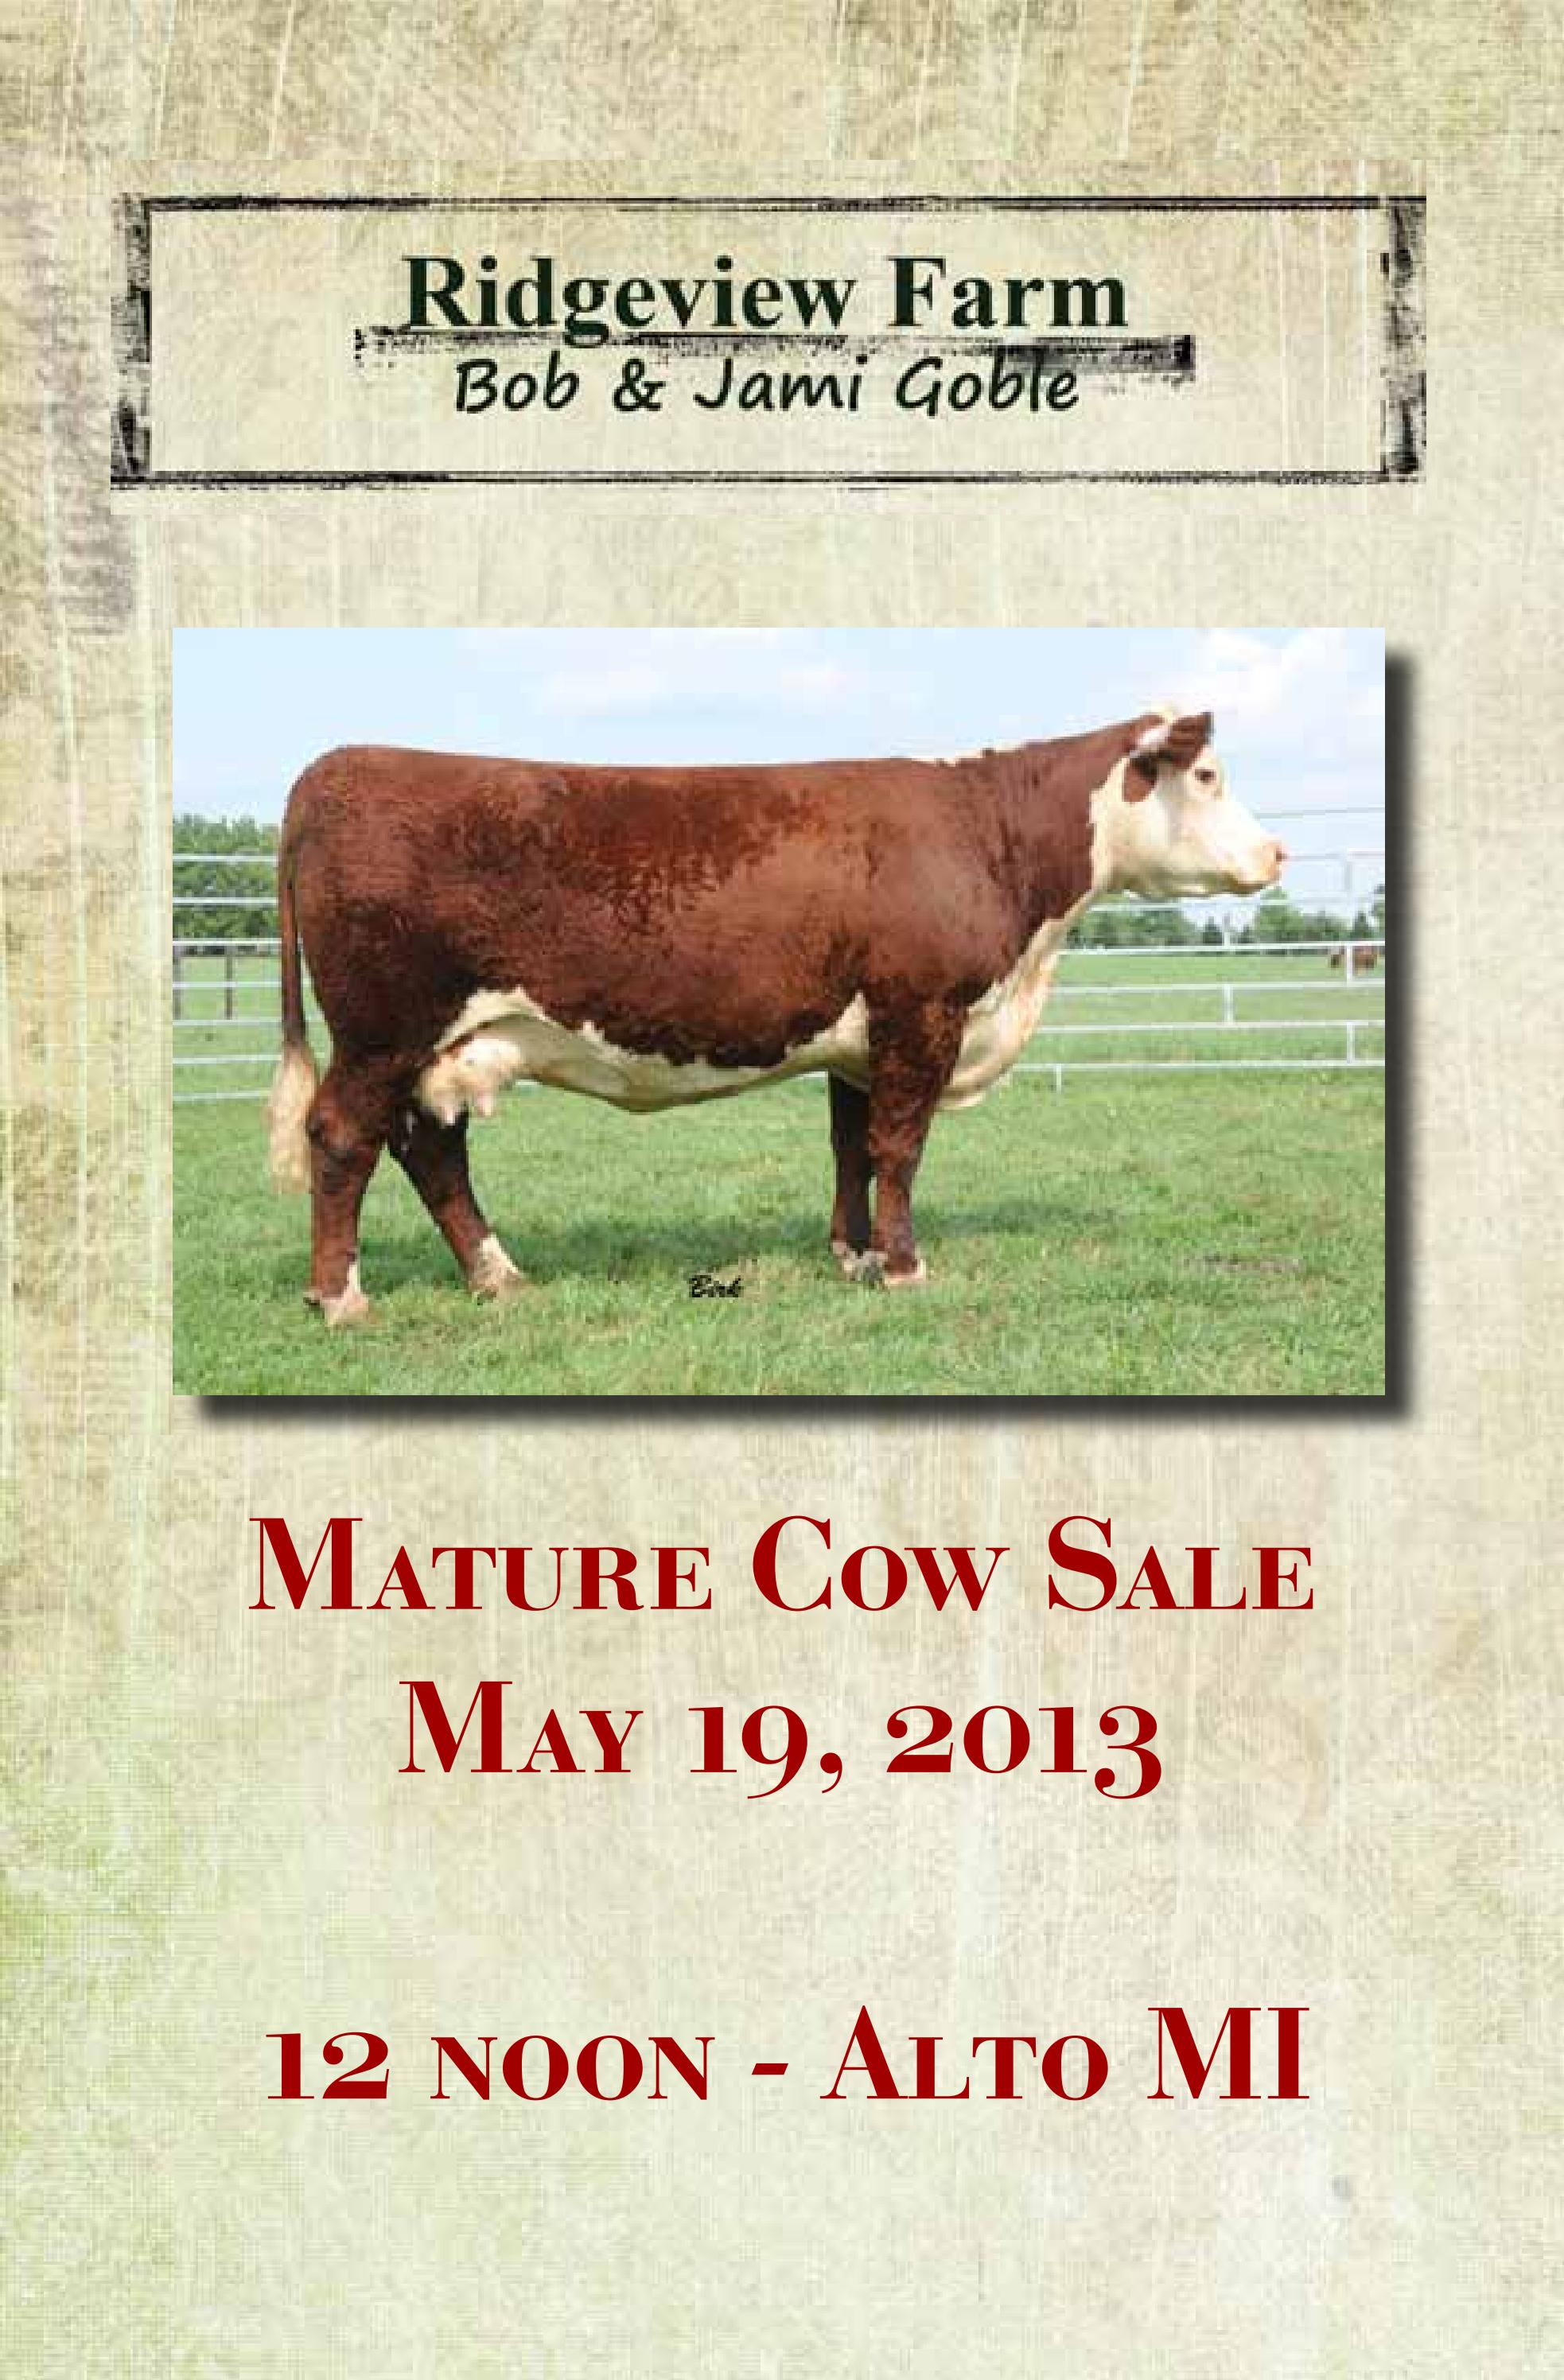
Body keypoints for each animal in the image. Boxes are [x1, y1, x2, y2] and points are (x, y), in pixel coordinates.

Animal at [267, 707, 1284, 1323]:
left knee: (430, 1148)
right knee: (343, 1137)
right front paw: (904, 1267)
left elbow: (851, 1147)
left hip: (432, 1042)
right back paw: (339, 1298)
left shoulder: (859, 1041)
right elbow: (899, 1149)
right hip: (381, 1030)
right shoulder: (922, 1013)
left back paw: (497, 1275)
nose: (1275, 853)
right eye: (1206, 774)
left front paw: (852, 1255)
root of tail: (332, 767)